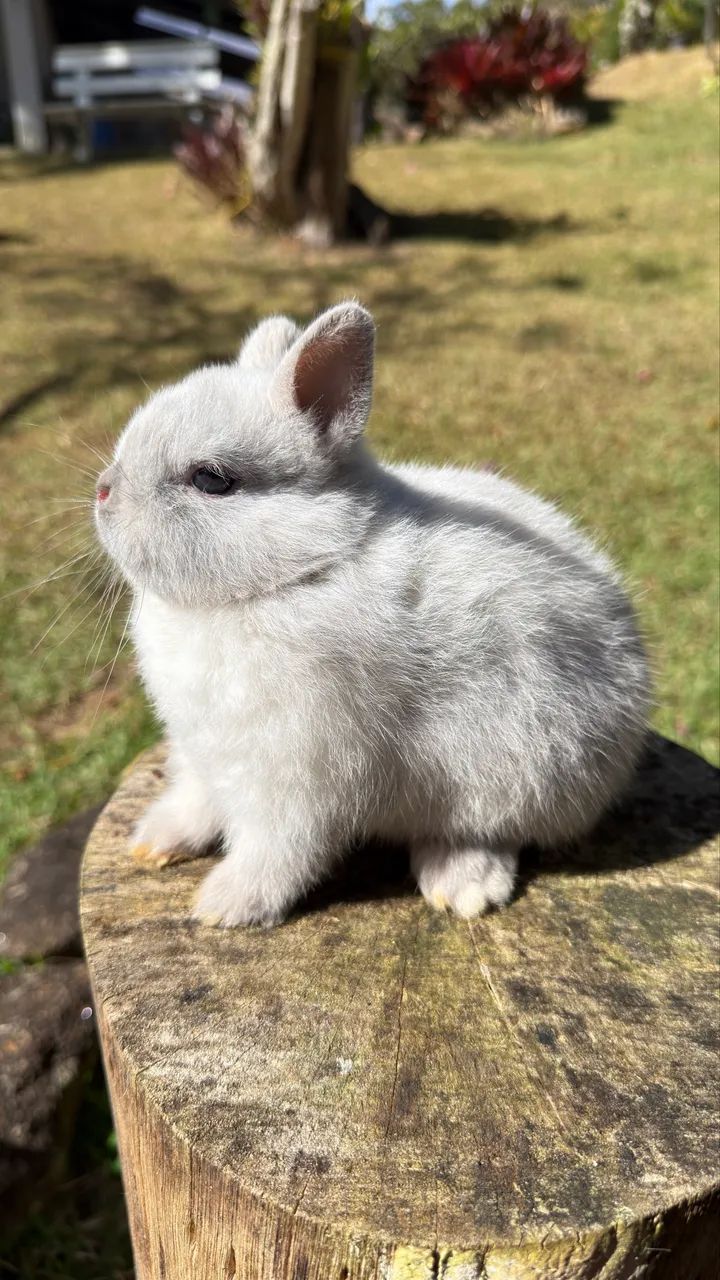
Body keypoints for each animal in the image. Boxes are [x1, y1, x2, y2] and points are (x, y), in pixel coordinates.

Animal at [94, 300, 650, 928]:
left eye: (211, 479)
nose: (103, 491)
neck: (303, 570)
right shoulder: (201, 752)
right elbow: (194, 799)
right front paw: (155, 841)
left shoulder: (298, 776)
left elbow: (278, 850)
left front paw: (224, 907)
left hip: (514, 777)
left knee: (489, 835)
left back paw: (462, 887)